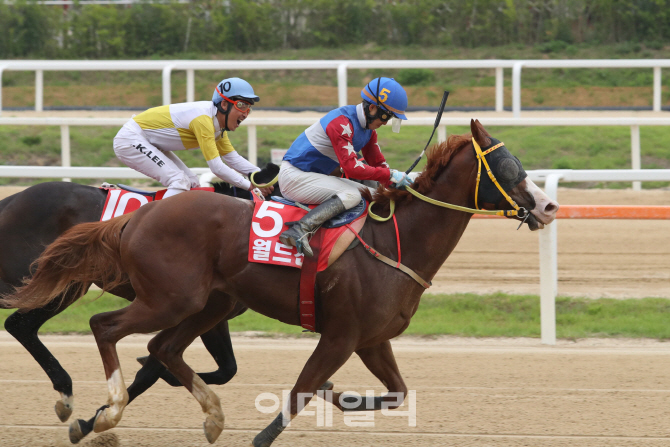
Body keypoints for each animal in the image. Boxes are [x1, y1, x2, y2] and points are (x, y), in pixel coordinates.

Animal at [2, 120, 560, 447]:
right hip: (170, 297)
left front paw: (340, 395)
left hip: (206, 302)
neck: (397, 241)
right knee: (103, 327)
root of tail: (134, 219)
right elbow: (298, 393)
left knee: (159, 347)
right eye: (508, 165)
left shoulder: (371, 339)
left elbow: (395, 394)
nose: (549, 205)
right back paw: (99, 409)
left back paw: (204, 416)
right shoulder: (340, 335)